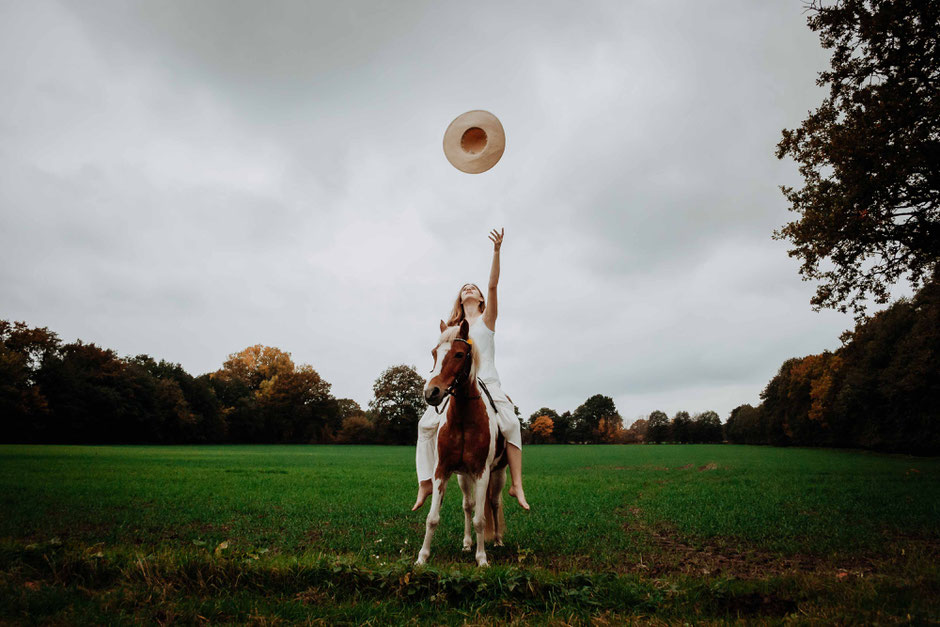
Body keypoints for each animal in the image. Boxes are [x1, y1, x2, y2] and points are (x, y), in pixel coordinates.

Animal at [416, 322, 506, 568]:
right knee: (468, 505)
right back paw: (467, 544)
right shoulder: (442, 471)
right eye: (434, 353)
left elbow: (481, 520)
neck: (464, 419)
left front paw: (482, 559)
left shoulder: (482, 472)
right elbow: (432, 518)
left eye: (458, 354)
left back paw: (498, 541)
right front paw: (422, 557)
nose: (432, 392)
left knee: (494, 503)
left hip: (498, 474)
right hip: (463, 477)